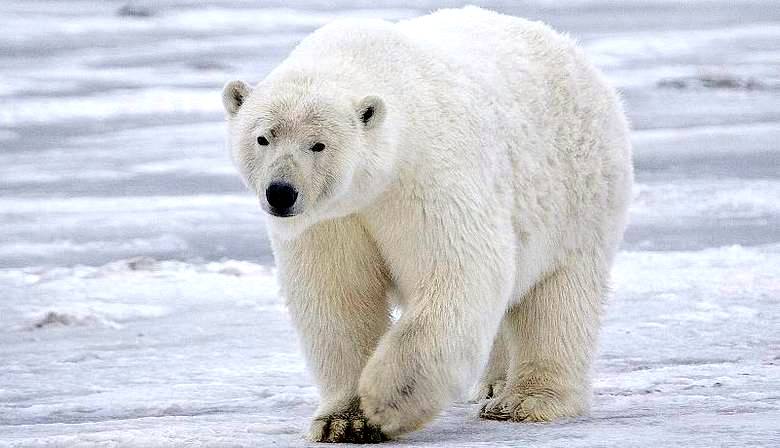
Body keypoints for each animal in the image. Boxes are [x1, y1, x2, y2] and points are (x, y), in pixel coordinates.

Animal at [221, 5, 632, 442]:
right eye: (263, 137)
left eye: (318, 144)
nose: (281, 193)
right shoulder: (332, 219)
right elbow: (338, 297)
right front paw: (343, 421)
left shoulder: (426, 176)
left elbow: (458, 273)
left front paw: (385, 402)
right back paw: (493, 384)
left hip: (579, 195)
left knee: (558, 298)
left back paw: (525, 401)